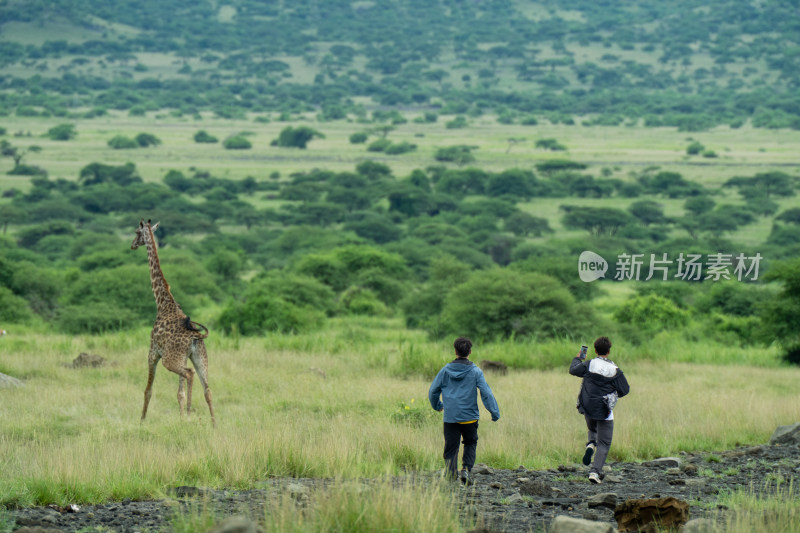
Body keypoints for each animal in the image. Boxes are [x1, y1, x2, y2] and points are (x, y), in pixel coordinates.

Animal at [133, 218, 217, 426]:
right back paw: (214, 425)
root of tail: (196, 335)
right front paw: (180, 419)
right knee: (207, 389)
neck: (163, 301)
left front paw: (142, 421)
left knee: (189, 374)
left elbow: (148, 390)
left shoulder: (153, 352)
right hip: (200, 357)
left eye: (137, 232)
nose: (132, 245)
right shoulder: (184, 356)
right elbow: (180, 393)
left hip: (171, 360)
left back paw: (189, 414)